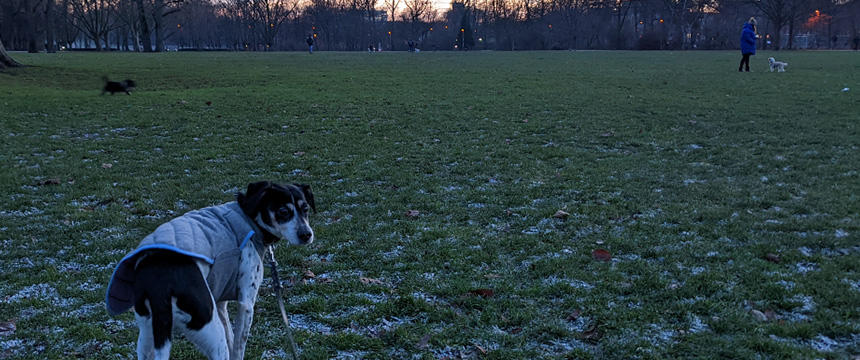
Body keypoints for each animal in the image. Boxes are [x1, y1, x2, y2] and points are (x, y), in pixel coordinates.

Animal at [106, 183, 316, 360]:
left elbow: (231, 335)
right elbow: (238, 347)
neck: (249, 217)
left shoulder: (220, 302)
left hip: (147, 334)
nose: (306, 235)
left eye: (305, 209)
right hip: (211, 332)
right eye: (283, 211)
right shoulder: (246, 303)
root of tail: (159, 284)